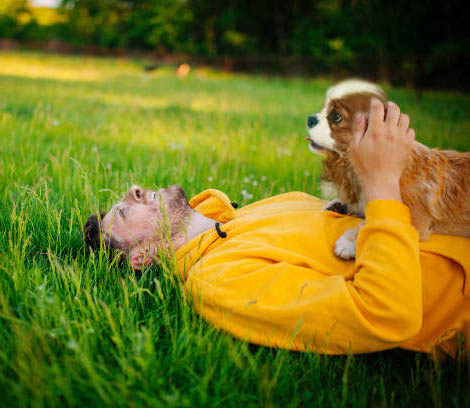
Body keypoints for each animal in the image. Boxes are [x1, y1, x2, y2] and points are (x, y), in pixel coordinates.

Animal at [304, 78, 470, 260]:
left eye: (336, 117)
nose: (310, 119)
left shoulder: (412, 218)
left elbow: (371, 221)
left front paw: (348, 241)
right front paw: (337, 204)